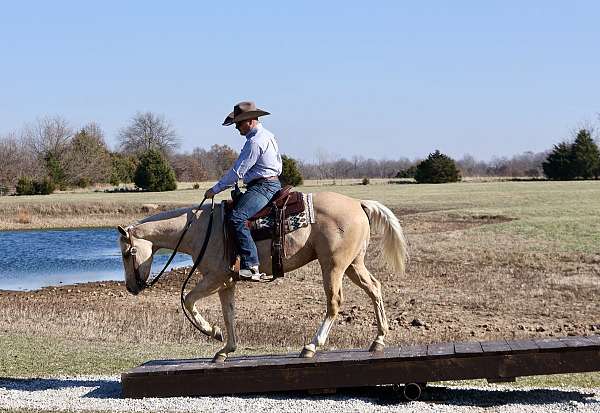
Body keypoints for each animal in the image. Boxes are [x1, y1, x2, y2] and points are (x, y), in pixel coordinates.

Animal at [117, 190, 408, 360]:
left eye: (128, 253)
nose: (131, 287)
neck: (200, 228)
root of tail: (359, 203)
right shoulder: (226, 283)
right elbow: (229, 314)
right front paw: (225, 349)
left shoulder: (216, 278)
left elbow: (188, 300)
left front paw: (212, 332)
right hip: (353, 265)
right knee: (375, 289)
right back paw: (378, 340)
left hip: (334, 265)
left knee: (334, 302)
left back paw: (311, 346)